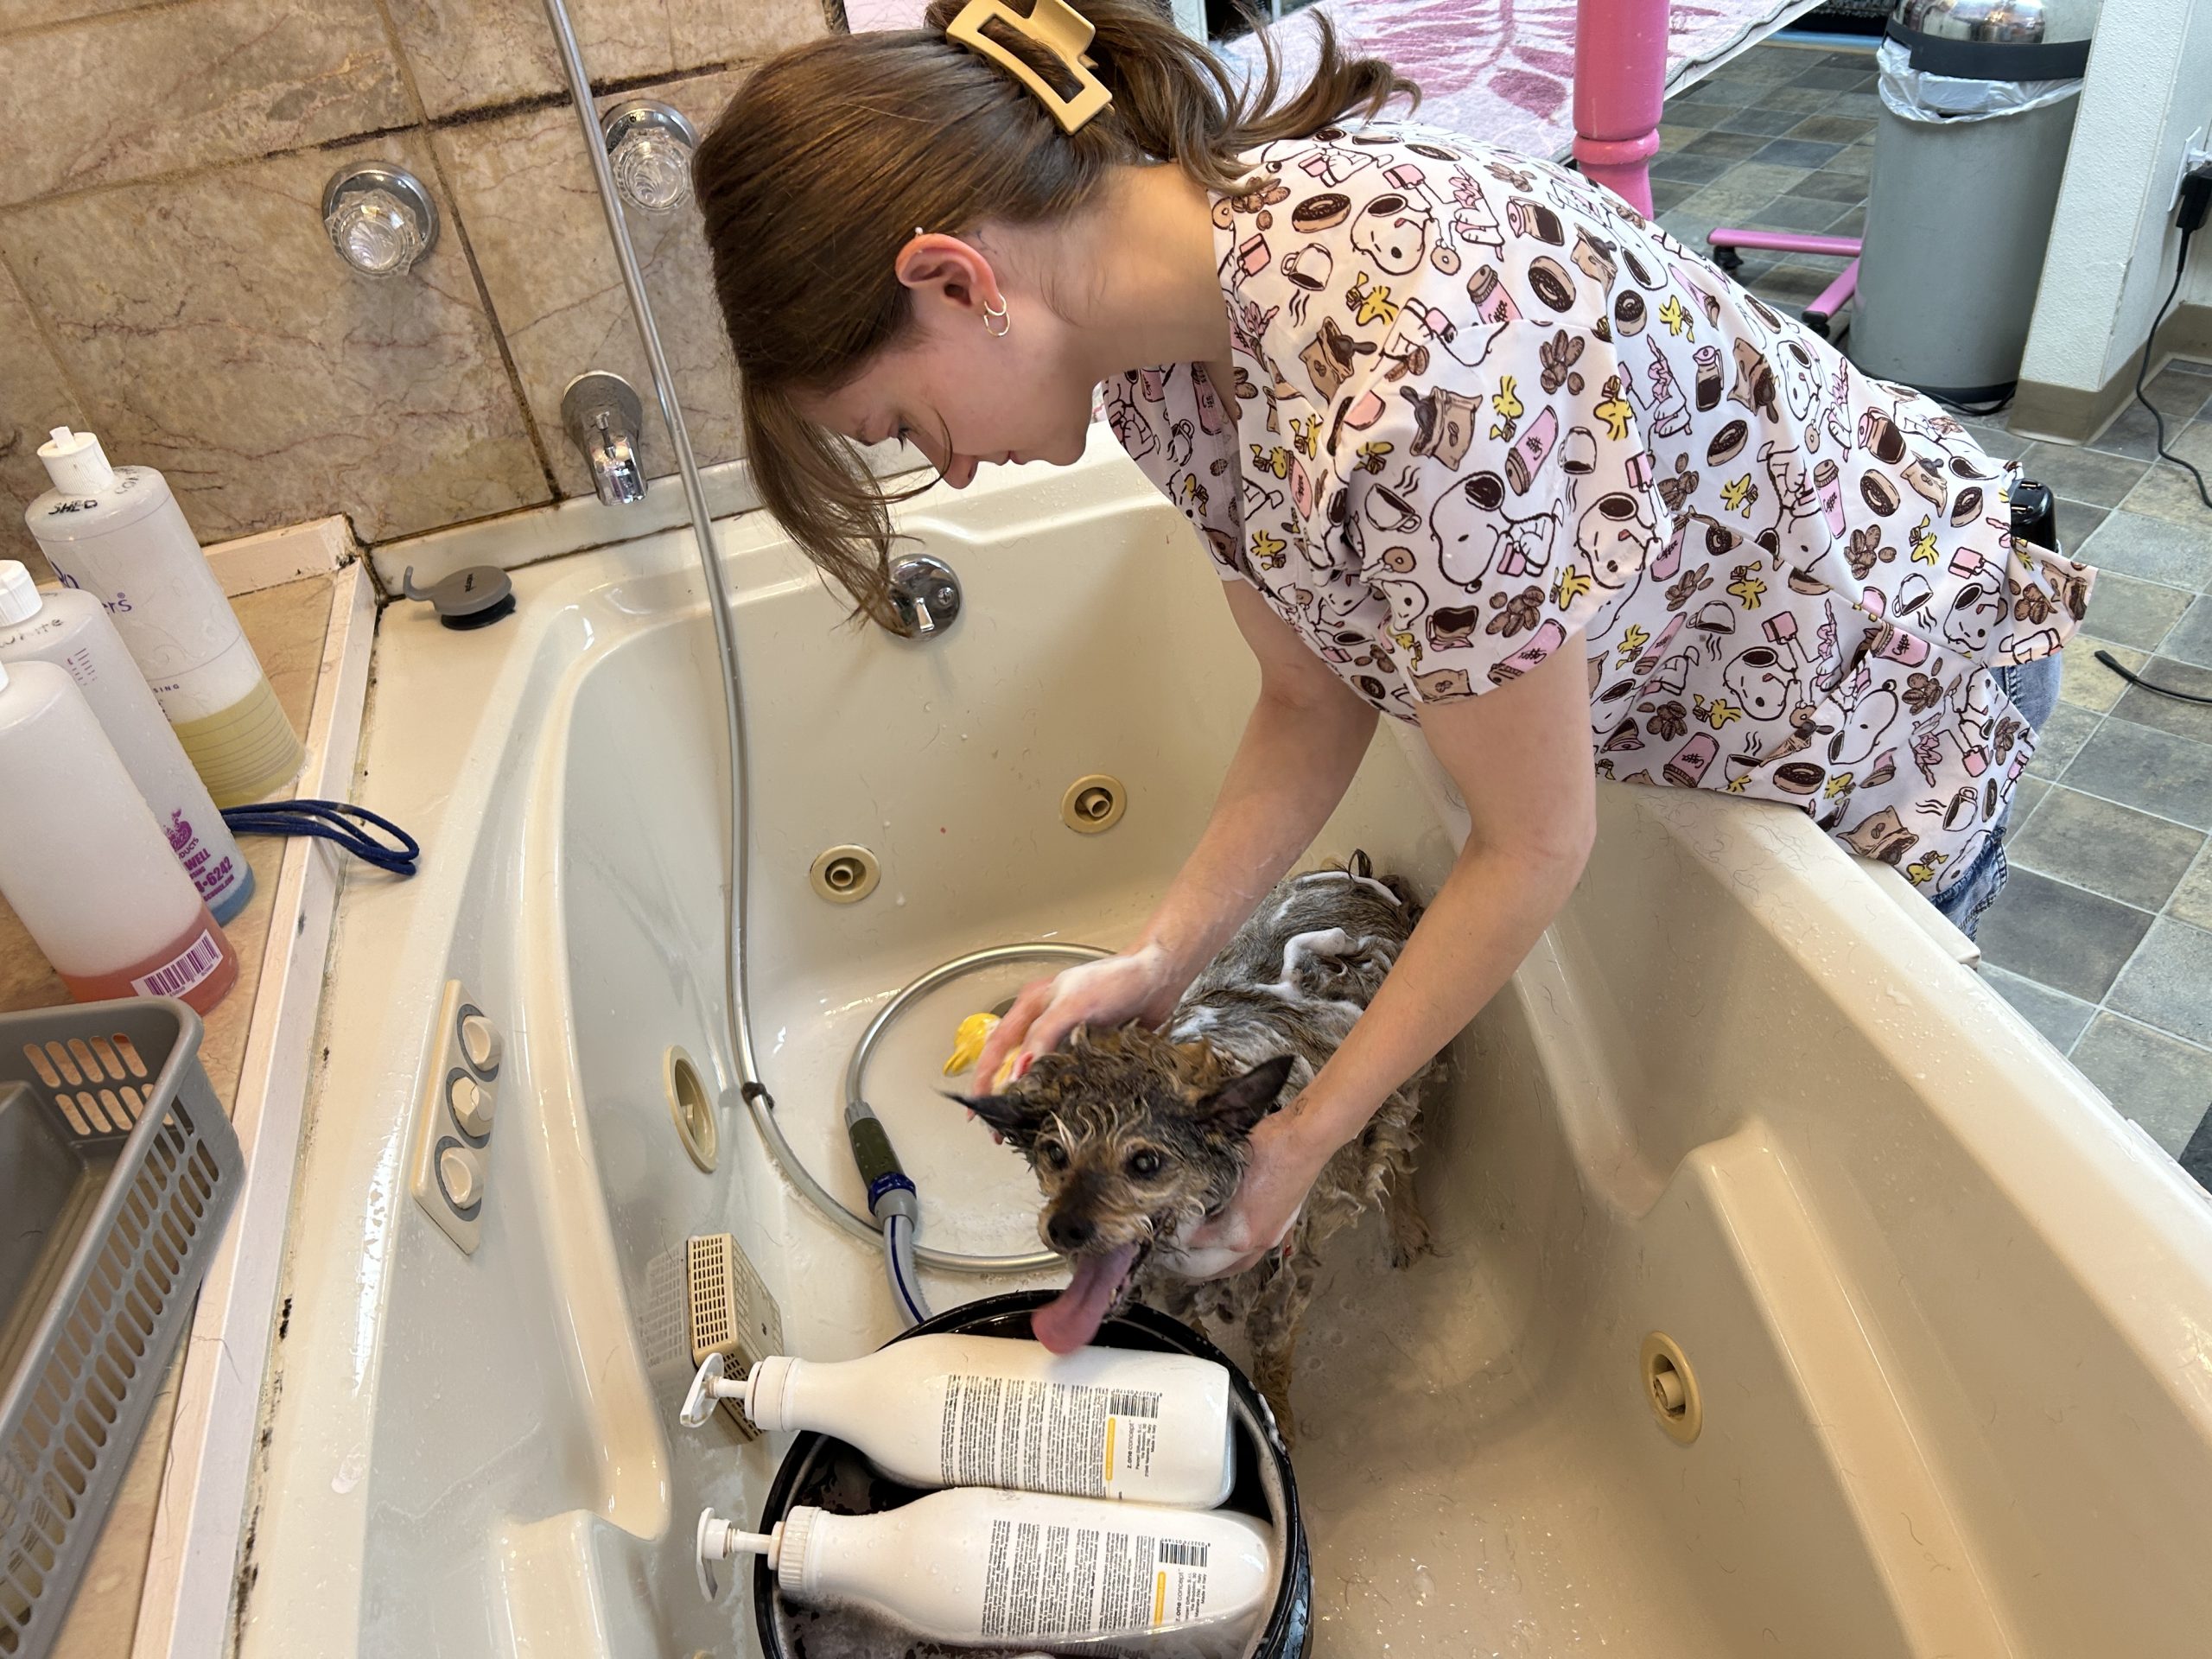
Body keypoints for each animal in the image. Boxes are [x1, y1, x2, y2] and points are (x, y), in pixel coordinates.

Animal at [955, 858, 1433, 1442]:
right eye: (1055, 1155)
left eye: (1145, 1162)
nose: (1065, 1228)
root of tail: (1356, 880)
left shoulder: (1281, 1286)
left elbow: (1272, 1364)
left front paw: (1280, 1425)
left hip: (1402, 1077)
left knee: (1398, 1154)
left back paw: (1405, 1228)